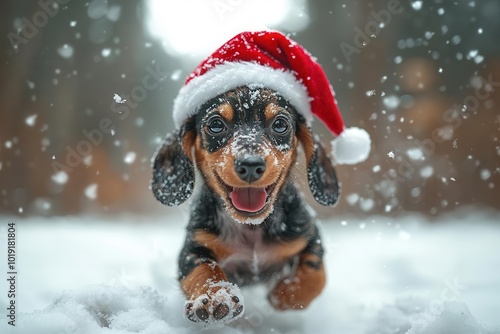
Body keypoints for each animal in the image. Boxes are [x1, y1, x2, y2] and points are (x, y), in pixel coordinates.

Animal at [150, 86, 338, 326]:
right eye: (216, 124)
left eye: (280, 124)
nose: (250, 165)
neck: (251, 227)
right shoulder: (194, 246)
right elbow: (203, 268)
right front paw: (215, 297)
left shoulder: (309, 236)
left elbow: (315, 273)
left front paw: (285, 294)